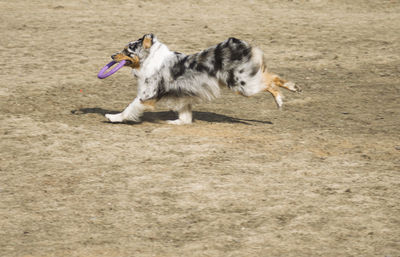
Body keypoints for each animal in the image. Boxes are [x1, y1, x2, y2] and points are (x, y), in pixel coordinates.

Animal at [106, 33, 300, 124]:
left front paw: (113, 117)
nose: (112, 56)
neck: (150, 59)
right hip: (245, 81)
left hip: (243, 85)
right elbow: (185, 115)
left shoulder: (147, 94)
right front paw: (177, 122)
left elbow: (129, 108)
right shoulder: (183, 94)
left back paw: (280, 99)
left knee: (269, 82)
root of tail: (239, 45)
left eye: (127, 50)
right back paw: (293, 87)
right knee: (271, 76)